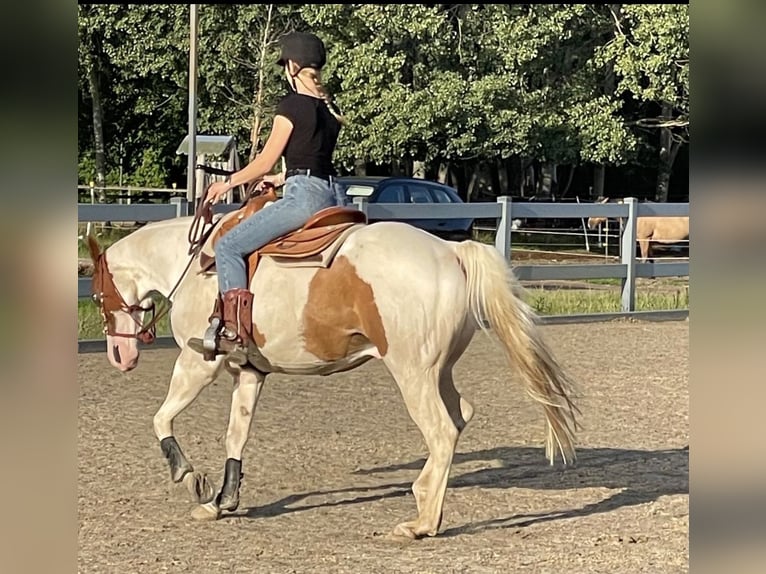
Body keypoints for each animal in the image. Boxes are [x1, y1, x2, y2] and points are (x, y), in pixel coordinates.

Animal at [85, 202, 580, 540]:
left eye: (94, 294)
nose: (120, 356)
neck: (195, 267)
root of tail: (450, 251)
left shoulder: (197, 364)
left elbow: (161, 418)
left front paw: (191, 478)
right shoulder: (248, 372)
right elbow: (235, 435)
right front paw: (223, 501)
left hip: (413, 374)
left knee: (442, 431)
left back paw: (420, 521)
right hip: (439, 372)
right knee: (460, 419)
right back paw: (430, 507)